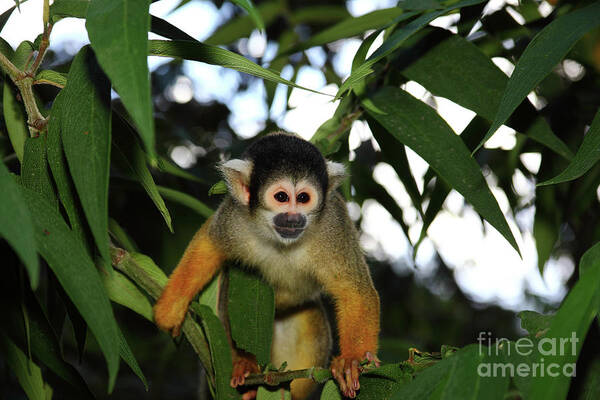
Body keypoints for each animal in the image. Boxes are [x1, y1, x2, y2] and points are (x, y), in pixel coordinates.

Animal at [155, 133, 380, 398]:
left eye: (303, 198)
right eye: (281, 197)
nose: (293, 218)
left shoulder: (334, 224)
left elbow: (353, 291)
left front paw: (351, 360)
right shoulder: (235, 217)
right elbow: (209, 243)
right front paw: (172, 306)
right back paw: (246, 366)